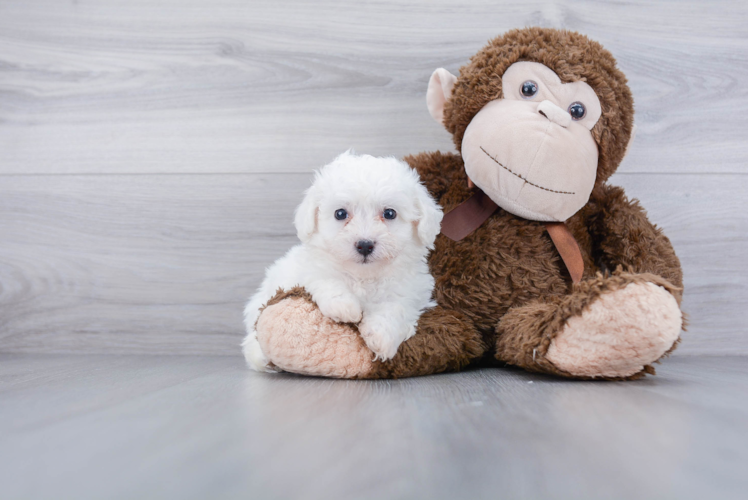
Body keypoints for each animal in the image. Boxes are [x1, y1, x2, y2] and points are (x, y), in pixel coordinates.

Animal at [243, 150, 444, 374]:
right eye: (340, 213)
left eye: (389, 213)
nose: (364, 245)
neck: (364, 276)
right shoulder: (310, 270)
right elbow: (327, 280)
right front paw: (344, 307)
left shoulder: (411, 290)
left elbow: (396, 307)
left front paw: (381, 335)